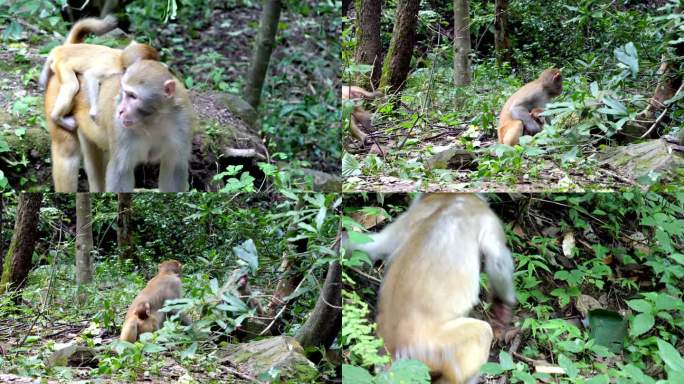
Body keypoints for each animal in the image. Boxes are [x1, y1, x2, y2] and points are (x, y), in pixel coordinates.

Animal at [344, 195, 516, 384]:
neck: (449, 199)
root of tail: (393, 351)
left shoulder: (413, 212)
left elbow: (376, 244)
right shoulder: (485, 215)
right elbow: (498, 261)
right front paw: (503, 306)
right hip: (434, 350)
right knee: (482, 332)